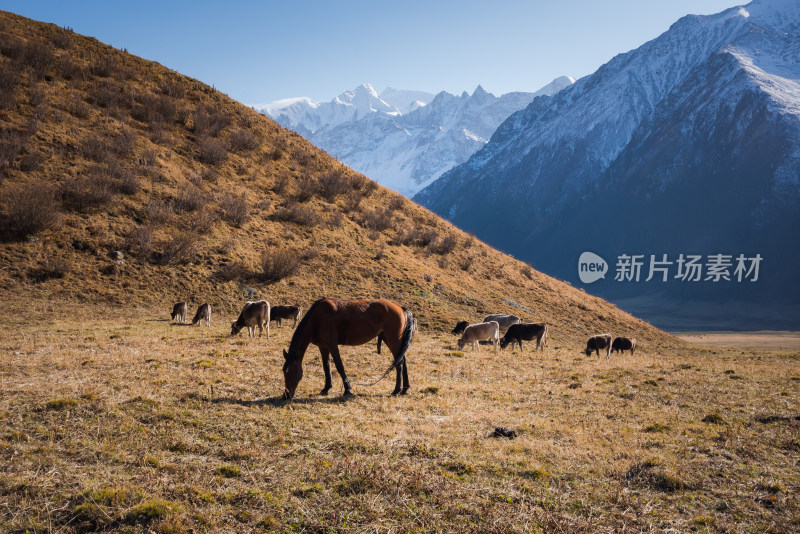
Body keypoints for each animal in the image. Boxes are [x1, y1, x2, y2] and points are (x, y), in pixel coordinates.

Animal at [282, 300, 416, 400]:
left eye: (295, 371)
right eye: (284, 371)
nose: (286, 395)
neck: (317, 318)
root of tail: (400, 308)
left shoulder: (332, 345)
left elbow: (339, 366)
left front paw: (347, 389)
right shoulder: (323, 347)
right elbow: (326, 366)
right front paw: (326, 388)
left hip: (393, 340)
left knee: (399, 363)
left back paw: (396, 390)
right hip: (391, 340)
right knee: (402, 360)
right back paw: (405, 389)